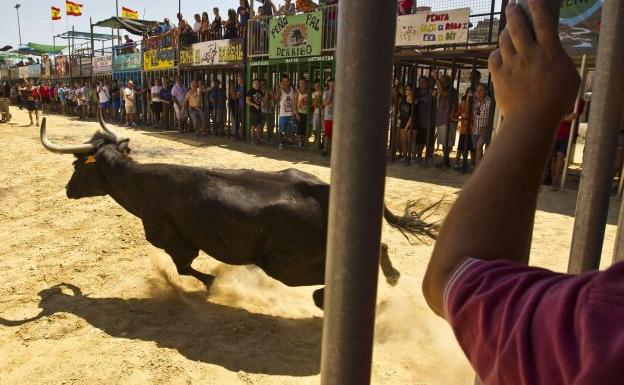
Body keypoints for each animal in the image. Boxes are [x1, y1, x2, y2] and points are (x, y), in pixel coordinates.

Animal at [40, 112, 438, 308]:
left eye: (77, 166)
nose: (67, 190)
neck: (139, 182)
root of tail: (323, 190)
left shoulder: (174, 241)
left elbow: (184, 268)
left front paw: (212, 284)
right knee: (380, 247)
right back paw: (393, 278)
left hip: (285, 265)